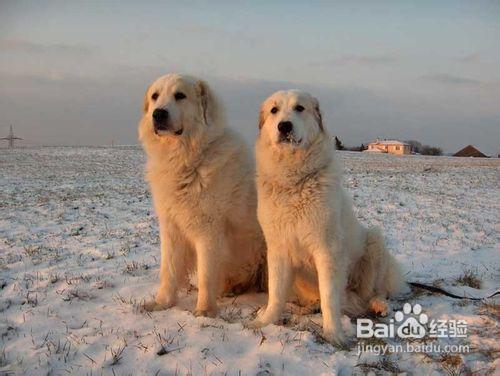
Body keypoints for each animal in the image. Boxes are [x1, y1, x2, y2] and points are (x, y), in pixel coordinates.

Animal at [248, 89, 408, 346]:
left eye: (299, 108)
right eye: (274, 110)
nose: (284, 126)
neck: (294, 182)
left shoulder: (327, 250)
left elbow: (330, 298)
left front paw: (334, 334)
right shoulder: (278, 249)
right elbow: (276, 293)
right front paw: (265, 320)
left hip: (374, 242)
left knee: (373, 292)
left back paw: (378, 305)